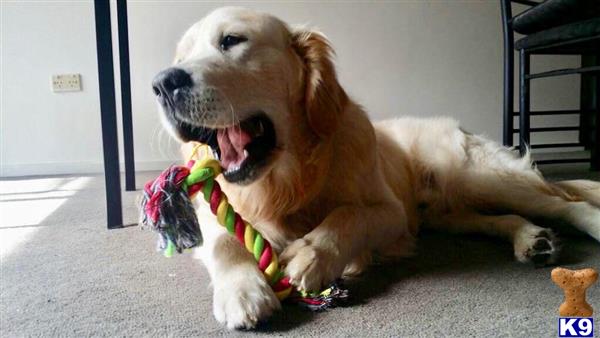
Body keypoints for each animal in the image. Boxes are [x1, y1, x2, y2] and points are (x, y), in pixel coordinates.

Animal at [151, 6, 600, 330]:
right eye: (181, 57)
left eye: (231, 40)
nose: (161, 83)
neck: (289, 182)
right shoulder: (215, 214)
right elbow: (225, 241)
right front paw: (242, 292)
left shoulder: (390, 211)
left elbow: (348, 216)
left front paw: (310, 257)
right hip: (445, 212)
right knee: (503, 218)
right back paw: (531, 239)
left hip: (476, 178)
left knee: (564, 202)